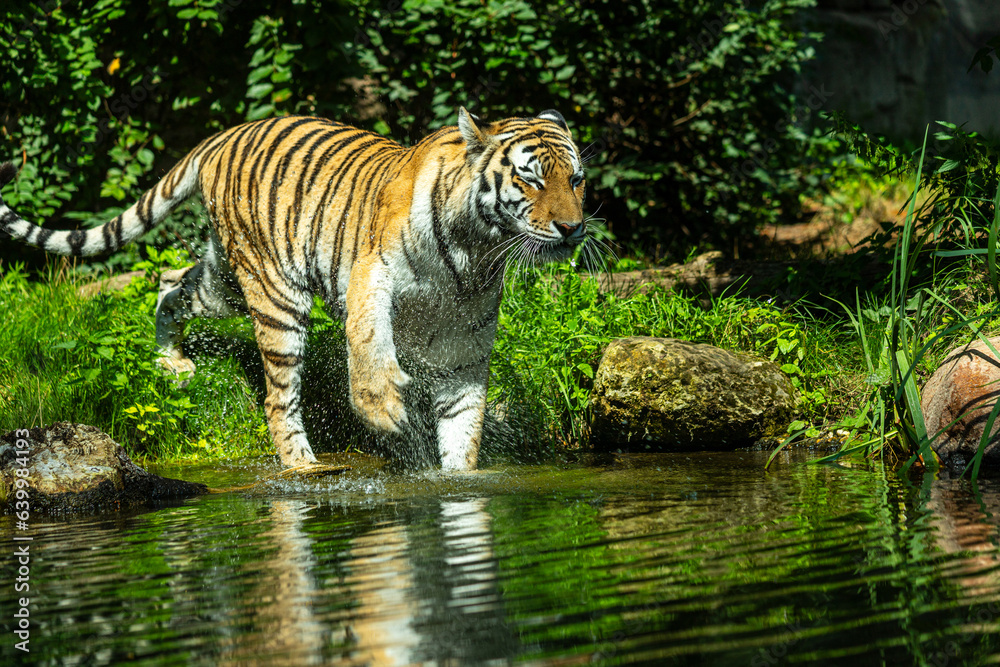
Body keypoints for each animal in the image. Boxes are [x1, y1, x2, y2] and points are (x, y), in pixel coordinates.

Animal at [0, 108, 588, 471]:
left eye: (576, 179)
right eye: (532, 178)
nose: (573, 229)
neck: (476, 251)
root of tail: (226, 133)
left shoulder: (464, 341)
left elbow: (464, 425)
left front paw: (455, 478)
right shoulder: (370, 275)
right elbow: (369, 347)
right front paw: (387, 414)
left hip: (224, 279)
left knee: (172, 284)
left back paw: (172, 361)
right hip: (275, 293)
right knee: (277, 397)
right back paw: (301, 465)